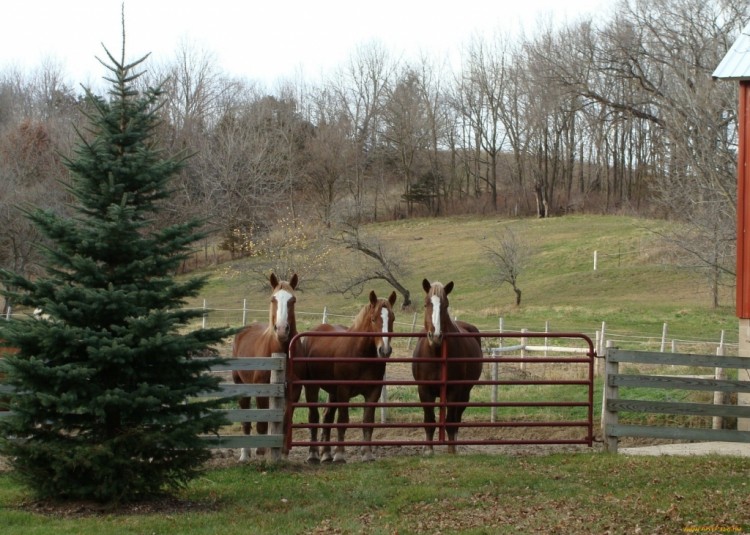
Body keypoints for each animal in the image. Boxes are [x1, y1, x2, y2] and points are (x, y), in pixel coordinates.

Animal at [232, 274, 300, 462]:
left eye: (292, 300)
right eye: (273, 299)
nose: (282, 329)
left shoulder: (293, 392)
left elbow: (284, 421)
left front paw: (282, 453)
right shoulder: (261, 390)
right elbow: (261, 423)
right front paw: (261, 451)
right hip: (241, 385)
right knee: (246, 421)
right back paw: (245, 455)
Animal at [302, 292, 402, 462]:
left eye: (393, 318)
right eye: (373, 319)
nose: (385, 350)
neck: (360, 353)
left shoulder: (373, 392)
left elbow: (368, 421)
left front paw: (367, 453)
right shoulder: (344, 390)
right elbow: (343, 420)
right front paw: (340, 454)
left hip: (333, 392)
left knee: (327, 417)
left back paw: (326, 454)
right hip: (312, 387)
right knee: (314, 417)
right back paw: (313, 454)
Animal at [412, 278, 482, 454]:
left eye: (445, 305)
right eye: (426, 304)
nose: (436, 336)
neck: (437, 355)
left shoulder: (454, 390)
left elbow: (450, 420)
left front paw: (451, 449)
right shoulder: (423, 390)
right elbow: (429, 420)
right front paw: (428, 449)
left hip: (465, 393)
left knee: (457, 418)